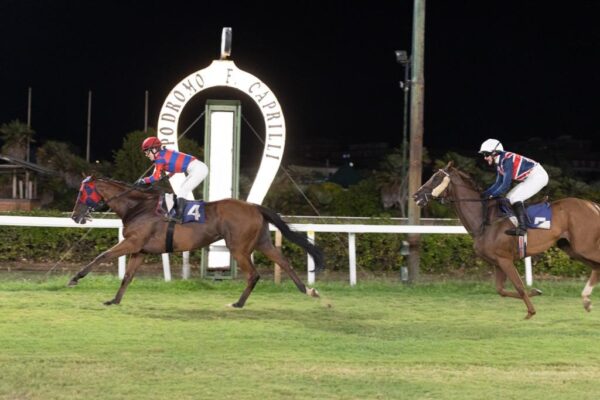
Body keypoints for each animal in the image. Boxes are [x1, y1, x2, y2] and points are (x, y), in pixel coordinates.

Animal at [69, 176, 324, 307]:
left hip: (238, 248)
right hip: (262, 242)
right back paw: (308, 290)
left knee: (254, 274)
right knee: (283, 261)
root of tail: (254, 206)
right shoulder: (140, 250)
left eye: (82, 192)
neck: (138, 206)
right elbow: (128, 276)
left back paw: (238, 303)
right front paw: (114, 300)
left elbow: (102, 256)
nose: (74, 216)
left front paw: (75, 278)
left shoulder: (132, 243)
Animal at [413, 161, 600, 319]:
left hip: (584, 246)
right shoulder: (497, 262)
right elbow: (501, 290)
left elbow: (518, 286)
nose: (416, 196)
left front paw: (531, 311)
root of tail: (592, 205)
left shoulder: (505, 259)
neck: (485, 220)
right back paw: (586, 300)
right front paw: (536, 292)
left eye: (436, 178)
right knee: (596, 267)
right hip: (572, 249)